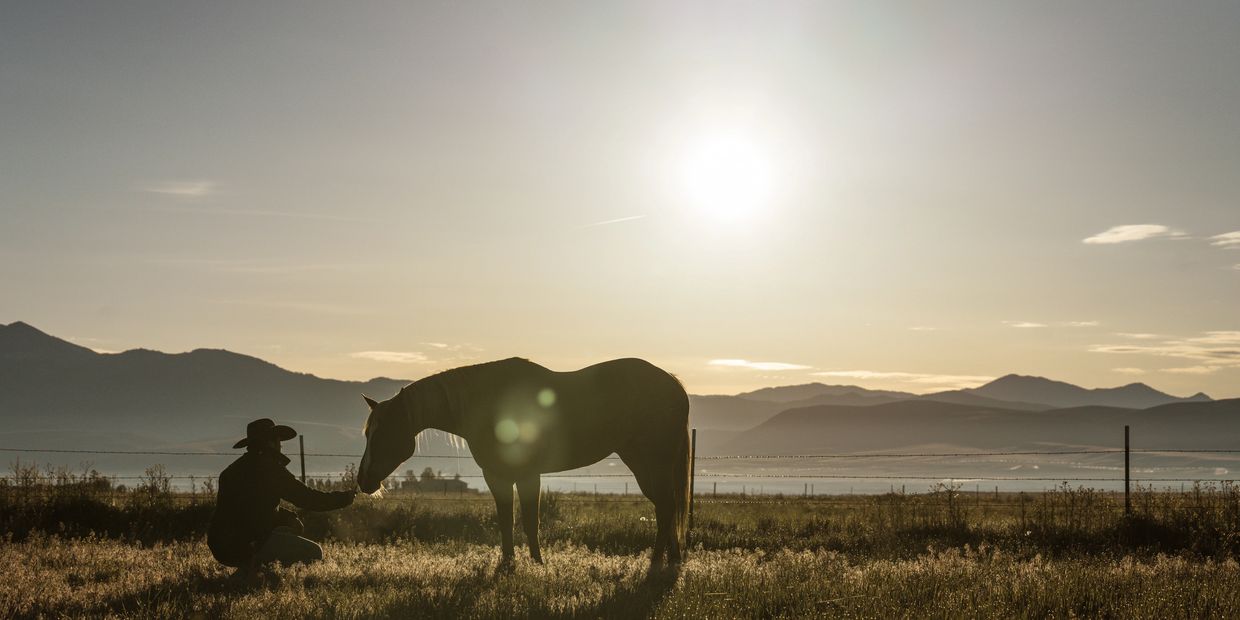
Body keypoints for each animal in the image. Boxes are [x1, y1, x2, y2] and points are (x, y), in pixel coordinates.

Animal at [354, 359, 694, 567]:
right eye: (367, 432)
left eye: (382, 432)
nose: (363, 480)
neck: (488, 401)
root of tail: (674, 384)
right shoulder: (503, 475)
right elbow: (510, 519)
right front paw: (512, 563)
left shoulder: (520, 474)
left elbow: (528, 520)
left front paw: (534, 563)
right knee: (668, 507)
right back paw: (671, 559)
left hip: (651, 462)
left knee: (666, 507)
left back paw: (657, 561)